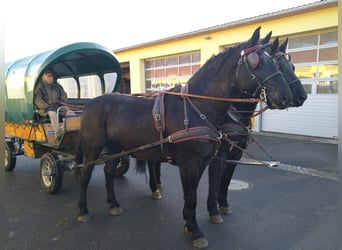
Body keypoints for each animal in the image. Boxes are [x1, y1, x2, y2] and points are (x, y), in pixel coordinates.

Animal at [74, 27, 292, 248]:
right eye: (257, 61)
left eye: (277, 62)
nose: (286, 96)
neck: (198, 107)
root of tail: (89, 105)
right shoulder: (189, 164)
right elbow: (191, 196)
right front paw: (196, 231)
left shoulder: (202, 163)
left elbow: (192, 194)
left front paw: (189, 225)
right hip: (93, 148)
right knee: (85, 175)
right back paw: (83, 211)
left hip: (115, 148)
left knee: (109, 171)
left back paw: (114, 204)